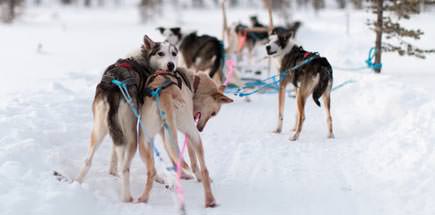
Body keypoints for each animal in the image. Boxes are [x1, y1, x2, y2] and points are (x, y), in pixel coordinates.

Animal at [75, 35, 179, 203]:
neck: (142, 59)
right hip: (132, 137)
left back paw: (77, 182)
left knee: (88, 160)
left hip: (99, 130)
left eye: (174, 53)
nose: (171, 65)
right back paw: (127, 197)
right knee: (125, 167)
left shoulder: (115, 129)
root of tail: (113, 88)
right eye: (161, 53)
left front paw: (111, 171)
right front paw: (158, 177)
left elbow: (114, 152)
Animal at [136, 68, 233, 207]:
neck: (193, 83)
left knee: (152, 170)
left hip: (145, 139)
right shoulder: (188, 133)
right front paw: (199, 177)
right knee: (204, 169)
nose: (201, 129)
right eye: (214, 114)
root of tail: (164, 93)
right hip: (193, 133)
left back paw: (144, 198)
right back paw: (210, 199)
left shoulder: (165, 134)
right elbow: (194, 162)